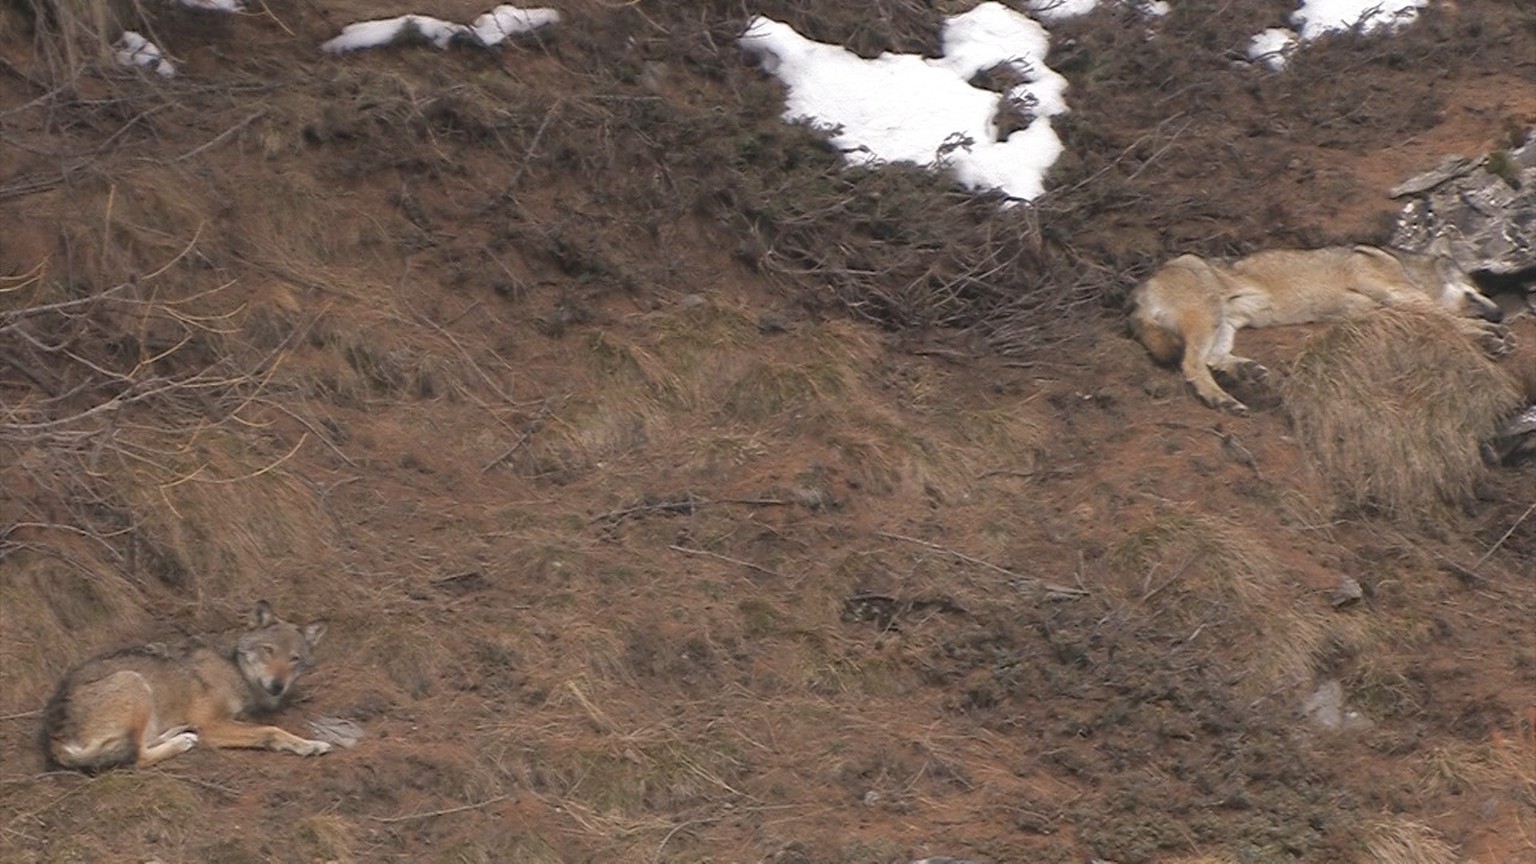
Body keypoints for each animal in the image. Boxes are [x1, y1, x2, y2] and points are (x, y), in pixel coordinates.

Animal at [46, 599, 334, 765]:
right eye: (268, 650)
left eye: (294, 659)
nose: (277, 685)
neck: (235, 668)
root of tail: (53, 737)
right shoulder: (211, 724)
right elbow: (271, 731)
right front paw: (310, 745)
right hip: (134, 681)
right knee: (137, 756)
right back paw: (182, 741)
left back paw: (179, 733)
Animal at [1130, 244, 1511, 412]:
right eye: (1478, 286)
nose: (1500, 313)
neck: (1406, 266)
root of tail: (1138, 292)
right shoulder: (1397, 291)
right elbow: (1447, 319)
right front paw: (1489, 337)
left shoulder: (1379, 306)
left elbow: (1440, 319)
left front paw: (1490, 336)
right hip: (1208, 315)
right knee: (1191, 364)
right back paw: (1221, 398)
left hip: (1225, 323)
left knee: (1212, 359)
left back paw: (1249, 373)